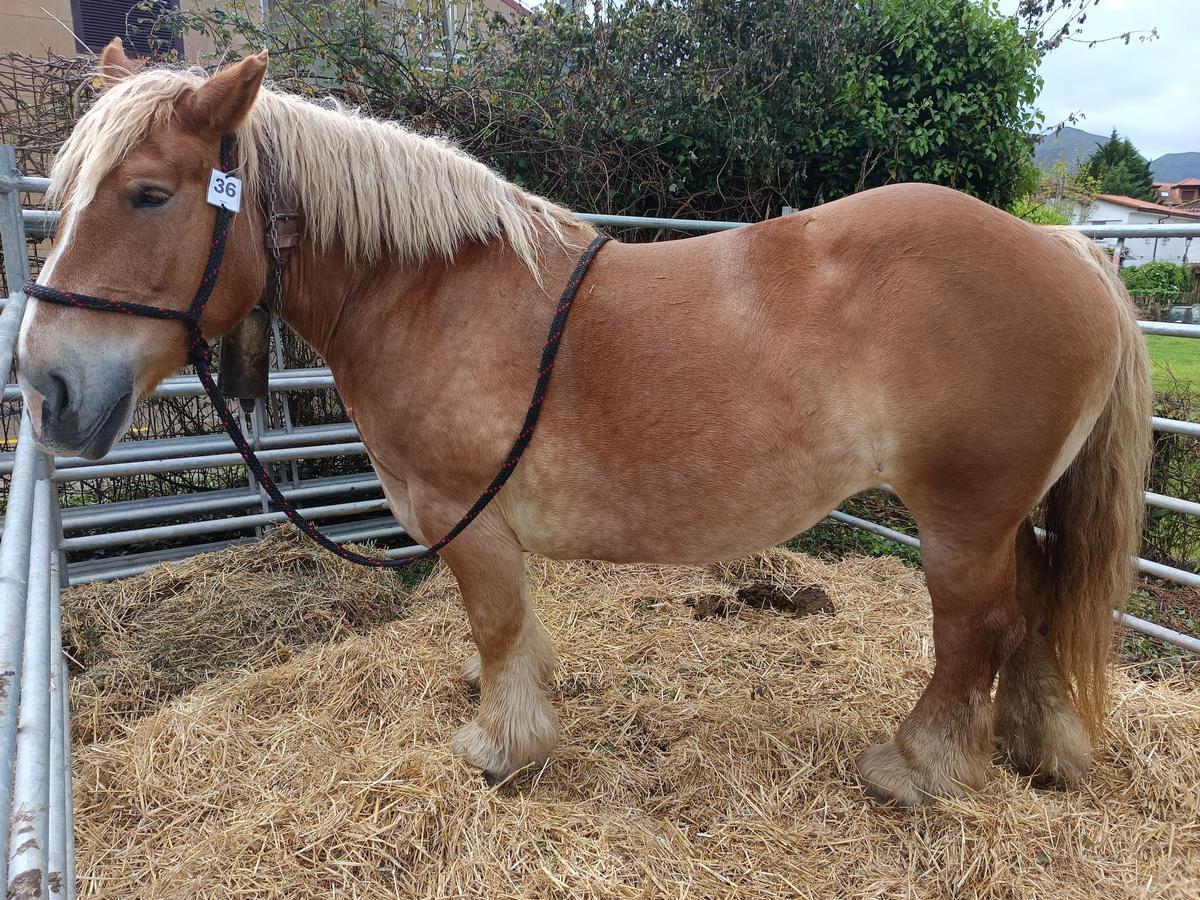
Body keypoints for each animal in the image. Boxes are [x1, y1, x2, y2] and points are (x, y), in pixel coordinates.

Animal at [18, 43, 1151, 805]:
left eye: (148, 194)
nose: (46, 383)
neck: (425, 292)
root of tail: (1068, 250)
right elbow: (516, 633)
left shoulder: (468, 521)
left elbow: (497, 628)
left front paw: (502, 750)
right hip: (1013, 510)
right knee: (1038, 604)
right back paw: (1037, 745)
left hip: (963, 516)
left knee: (977, 626)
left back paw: (916, 767)